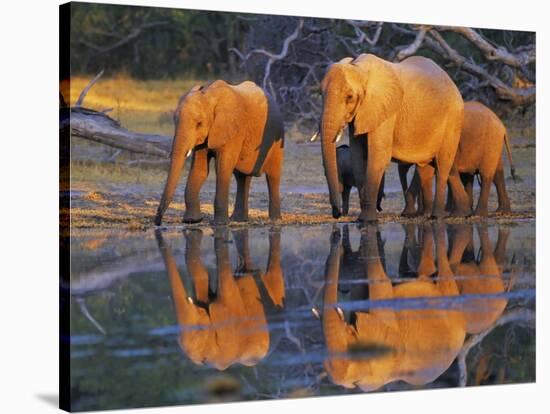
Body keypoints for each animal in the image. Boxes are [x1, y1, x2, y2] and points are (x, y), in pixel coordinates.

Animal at [154, 79, 284, 225]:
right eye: (175, 121)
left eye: (199, 124)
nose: (157, 221)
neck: (209, 94)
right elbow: (200, 170)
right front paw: (192, 221)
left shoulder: (232, 130)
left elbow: (222, 168)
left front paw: (220, 224)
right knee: (242, 177)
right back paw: (239, 220)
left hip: (277, 138)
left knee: (273, 176)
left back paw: (275, 220)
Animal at [322, 53, 472, 222]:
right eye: (321, 93)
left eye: (350, 97)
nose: (337, 214)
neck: (360, 69)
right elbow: (358, 155)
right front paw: (363, 217)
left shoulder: (386, 111)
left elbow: (378, 155)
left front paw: (367, 220)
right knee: (437, 166)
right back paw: (462, 214)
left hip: (453, 120)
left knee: (442, 165)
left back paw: (436, 216)